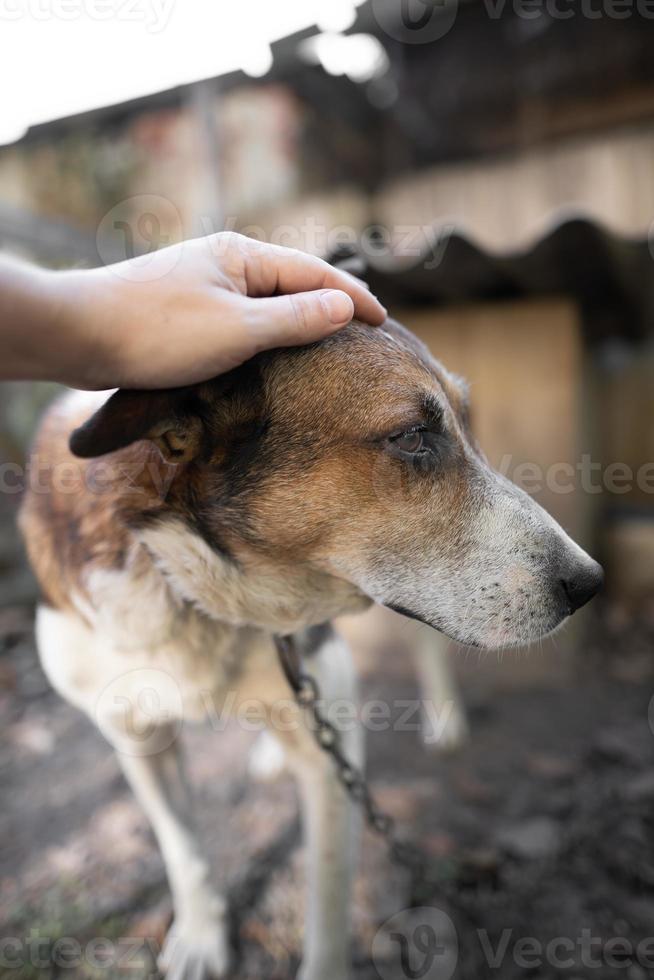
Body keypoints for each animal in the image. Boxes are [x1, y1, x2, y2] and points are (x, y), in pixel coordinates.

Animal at [19, 318, 604, 976]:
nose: (590, 583)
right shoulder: (133, 731)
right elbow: (182, 850)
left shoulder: (332, 746)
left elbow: (326, 901)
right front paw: (199, 936)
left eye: (464, 423)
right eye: (411, 436)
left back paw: (444, 718)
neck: (201, 591)